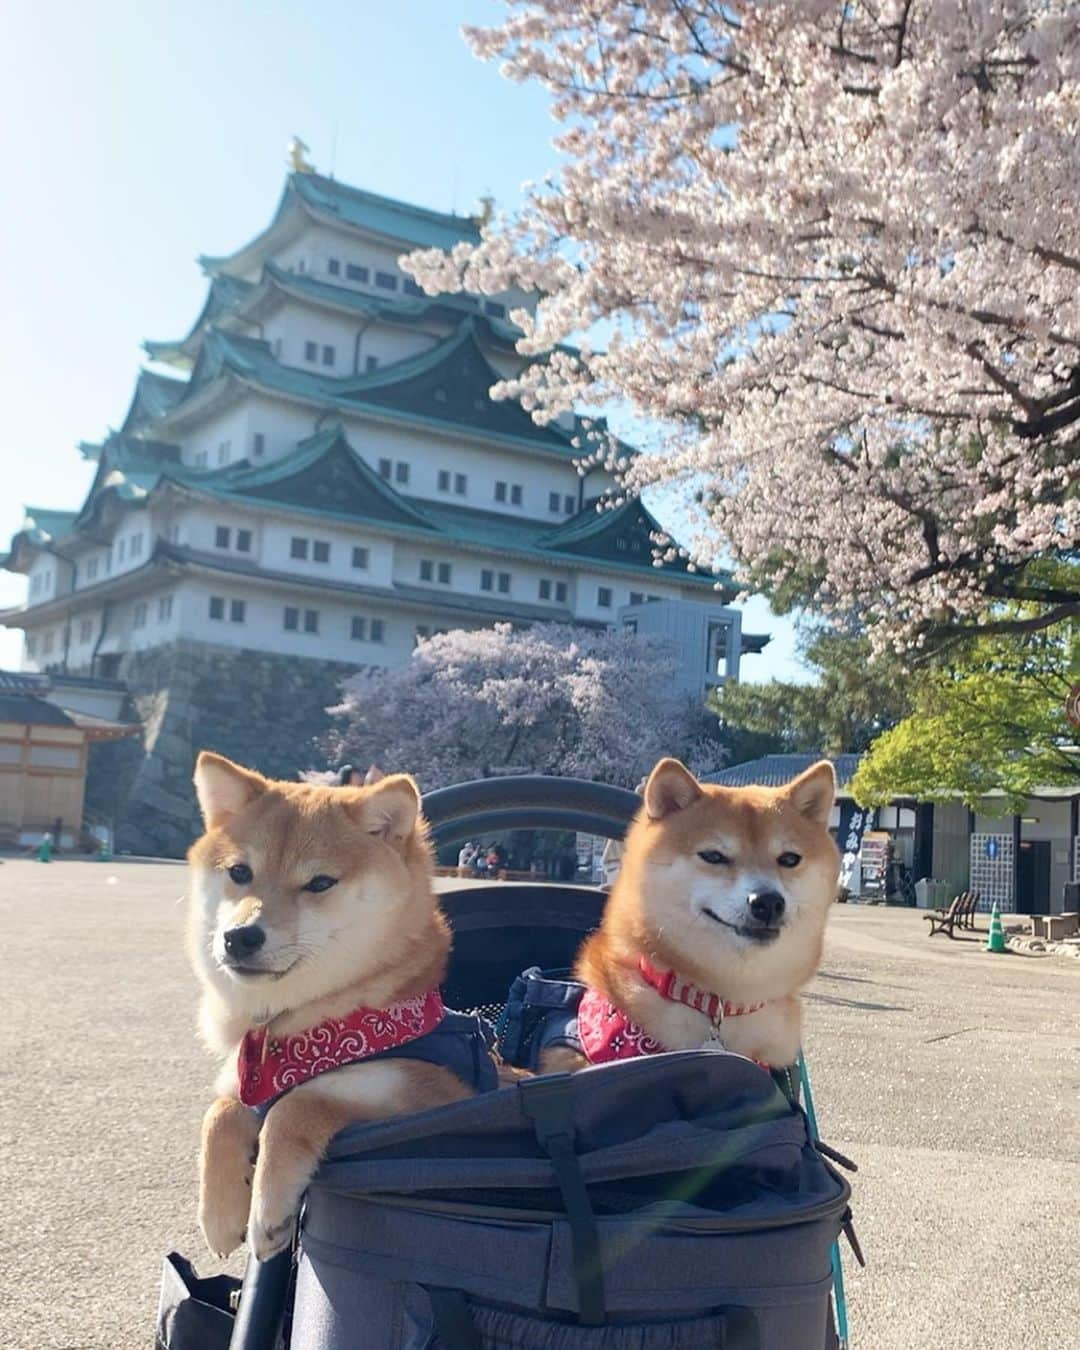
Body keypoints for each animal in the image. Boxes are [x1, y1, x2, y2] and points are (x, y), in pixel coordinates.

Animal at [189, 756, 486, 1258]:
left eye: (319, 883)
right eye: (239, 872)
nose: (240, 936)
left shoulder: (435, 1097)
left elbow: (299, 1103)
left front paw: (267, 1212)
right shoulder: (243, 1088)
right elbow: (220, 1113)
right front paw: (220, 1214)